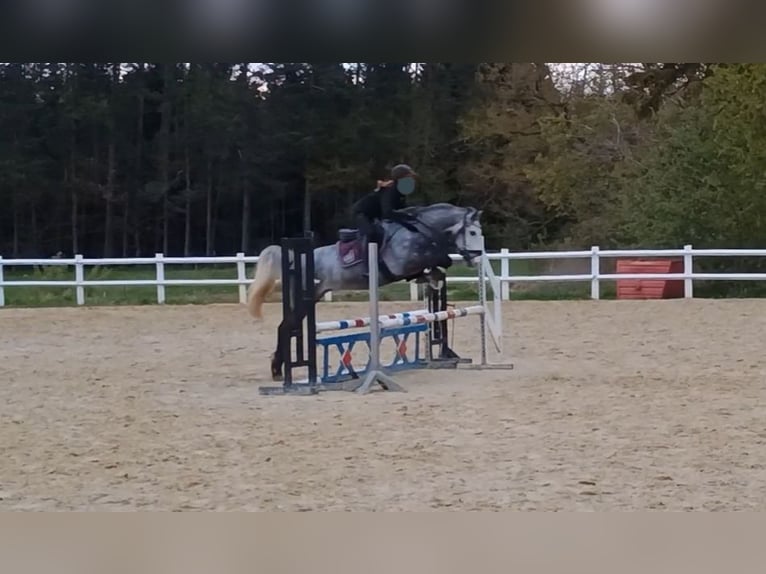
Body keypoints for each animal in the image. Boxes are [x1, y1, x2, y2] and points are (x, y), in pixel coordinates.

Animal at [246, 202, 486, 382]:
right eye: (473, 232)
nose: (476, 259)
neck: (419, 232)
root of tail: (294, 258)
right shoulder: (402, 264)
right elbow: (439, 259)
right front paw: (432, 274)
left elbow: (438, 264)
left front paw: (433, 278)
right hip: (305, 295)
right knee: (287, 325)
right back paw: (278, 371)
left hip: (314, 295)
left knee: (287, 325)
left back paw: (277, 368)